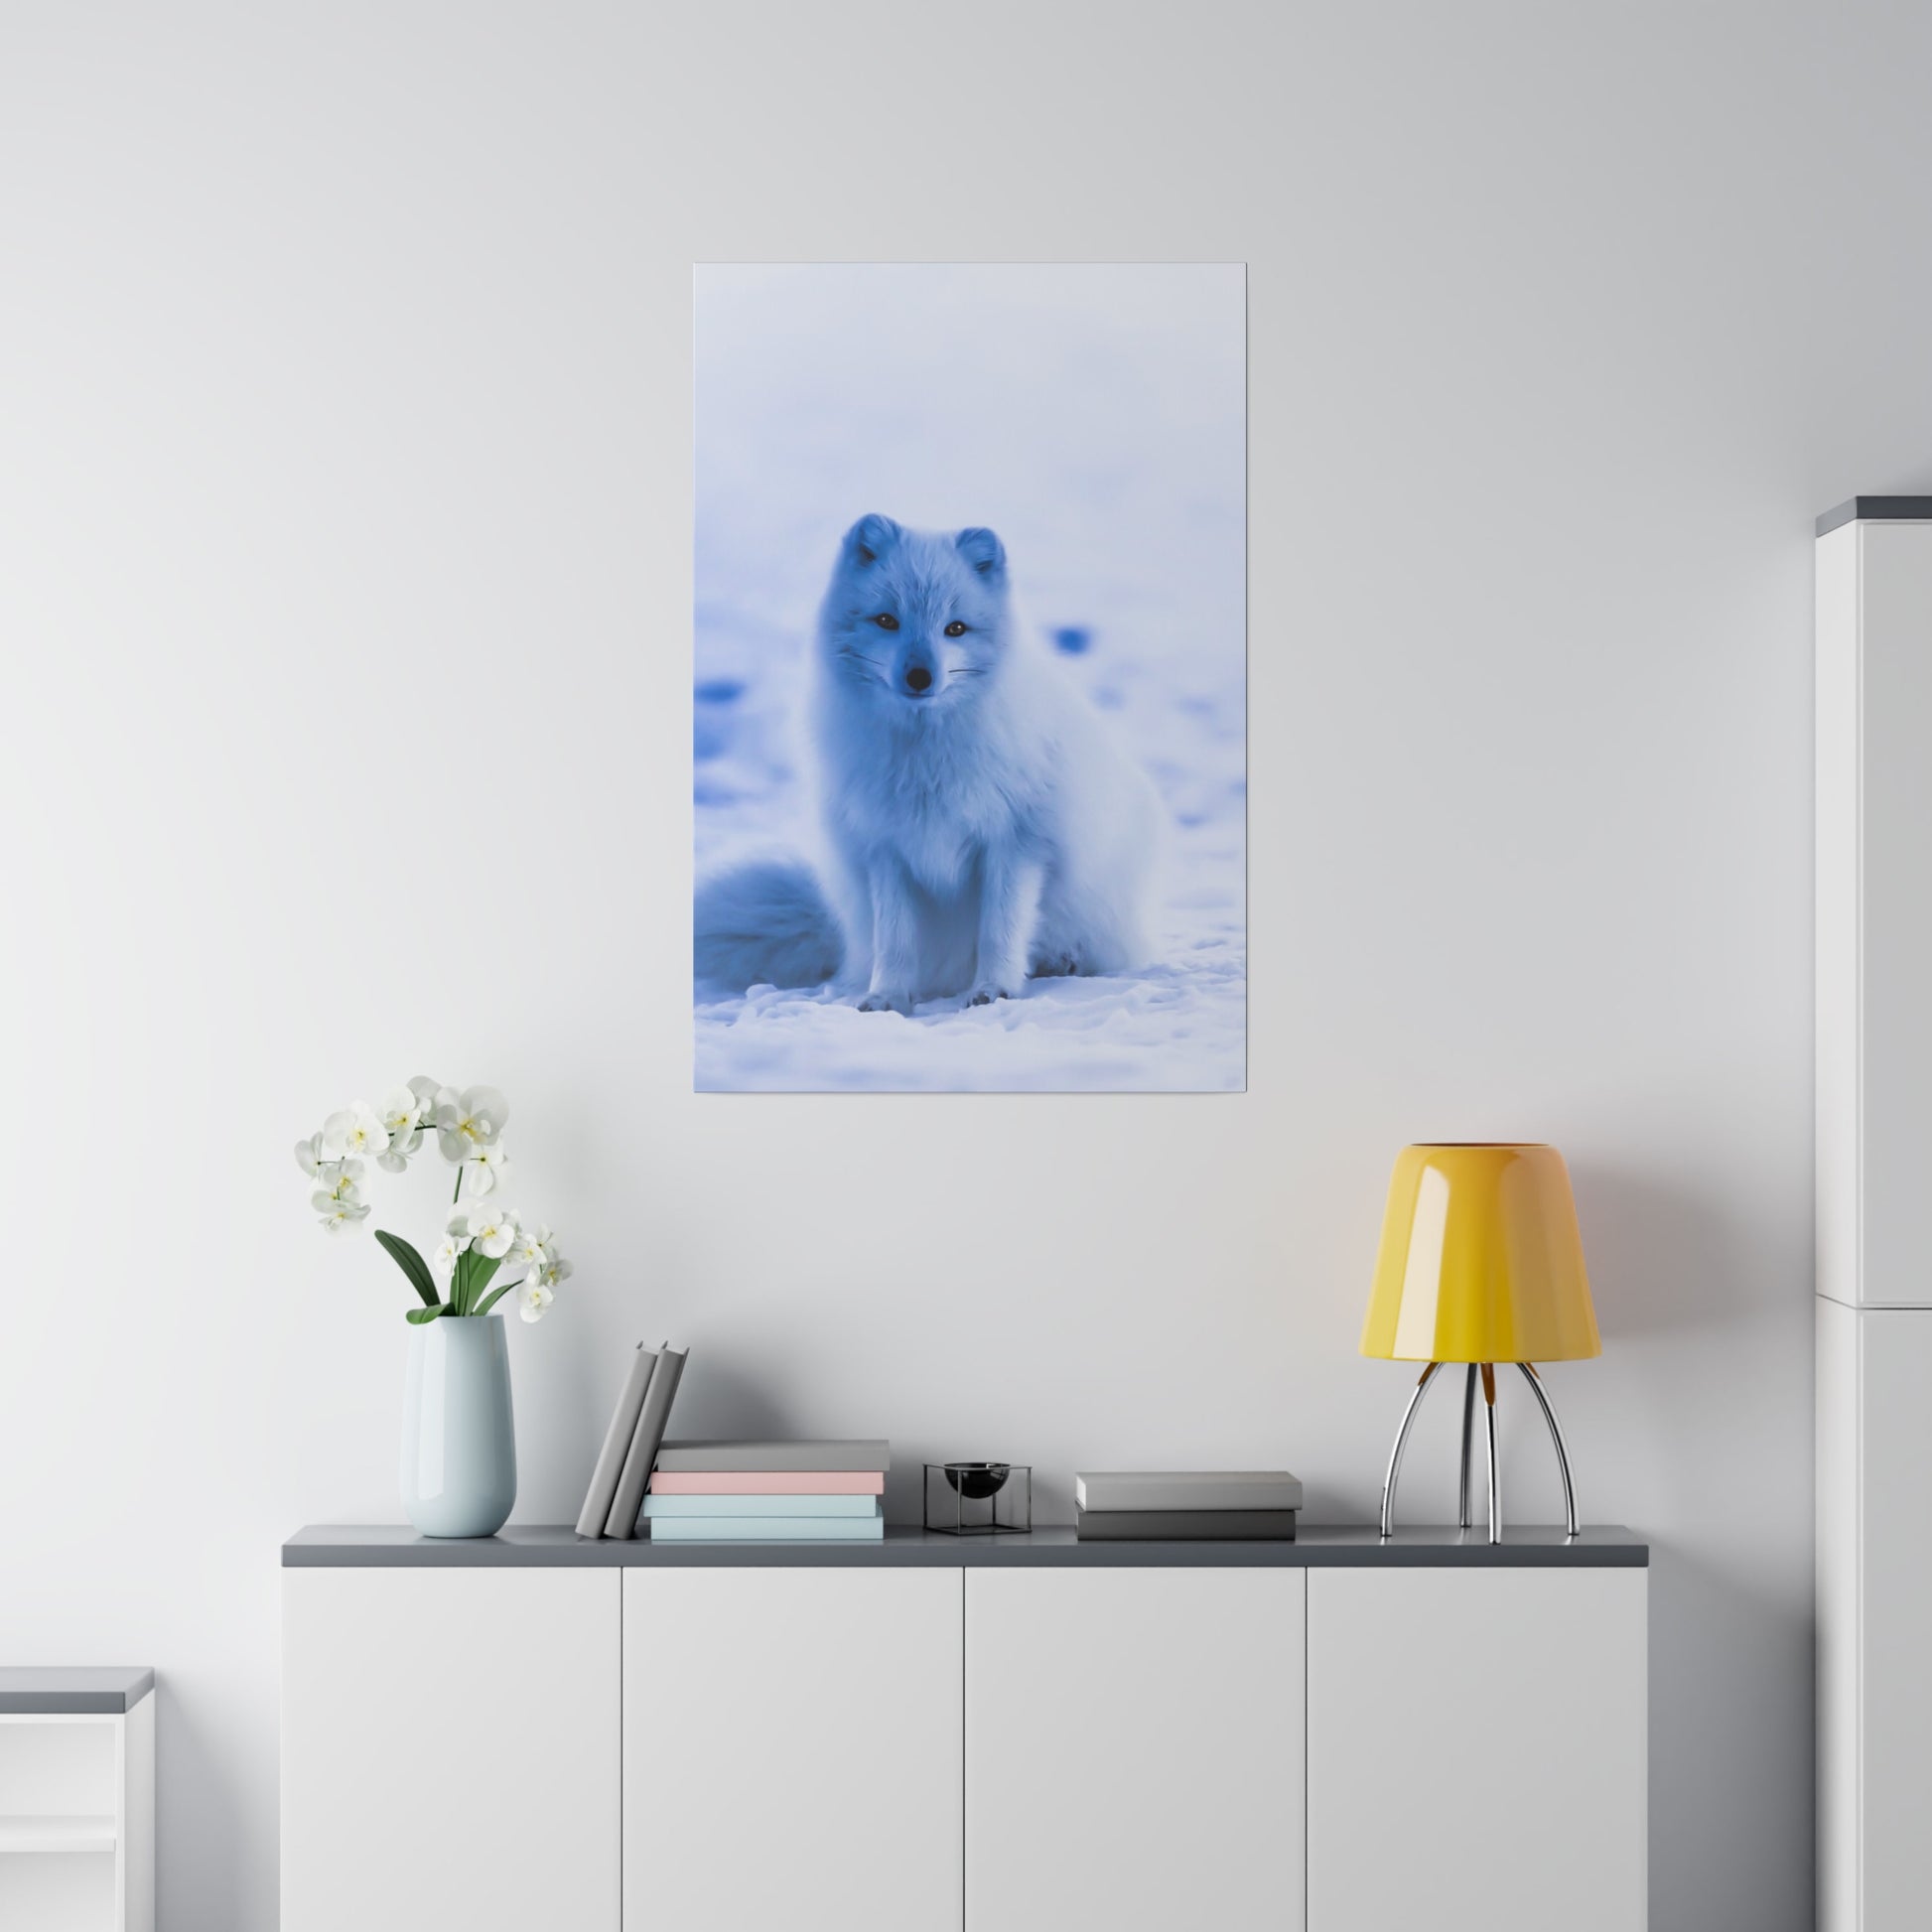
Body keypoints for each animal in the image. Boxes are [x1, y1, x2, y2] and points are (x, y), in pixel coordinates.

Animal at [695, 521, 1159, 1020]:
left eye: (955, 628)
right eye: (887, 620)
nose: (920, 676)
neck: (926, 758)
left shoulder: (1016, 843)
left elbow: (1000, 929)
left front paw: (995, 990)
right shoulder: (885, 847)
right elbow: (895, 940)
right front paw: (887, 997)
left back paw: (1063, 961)